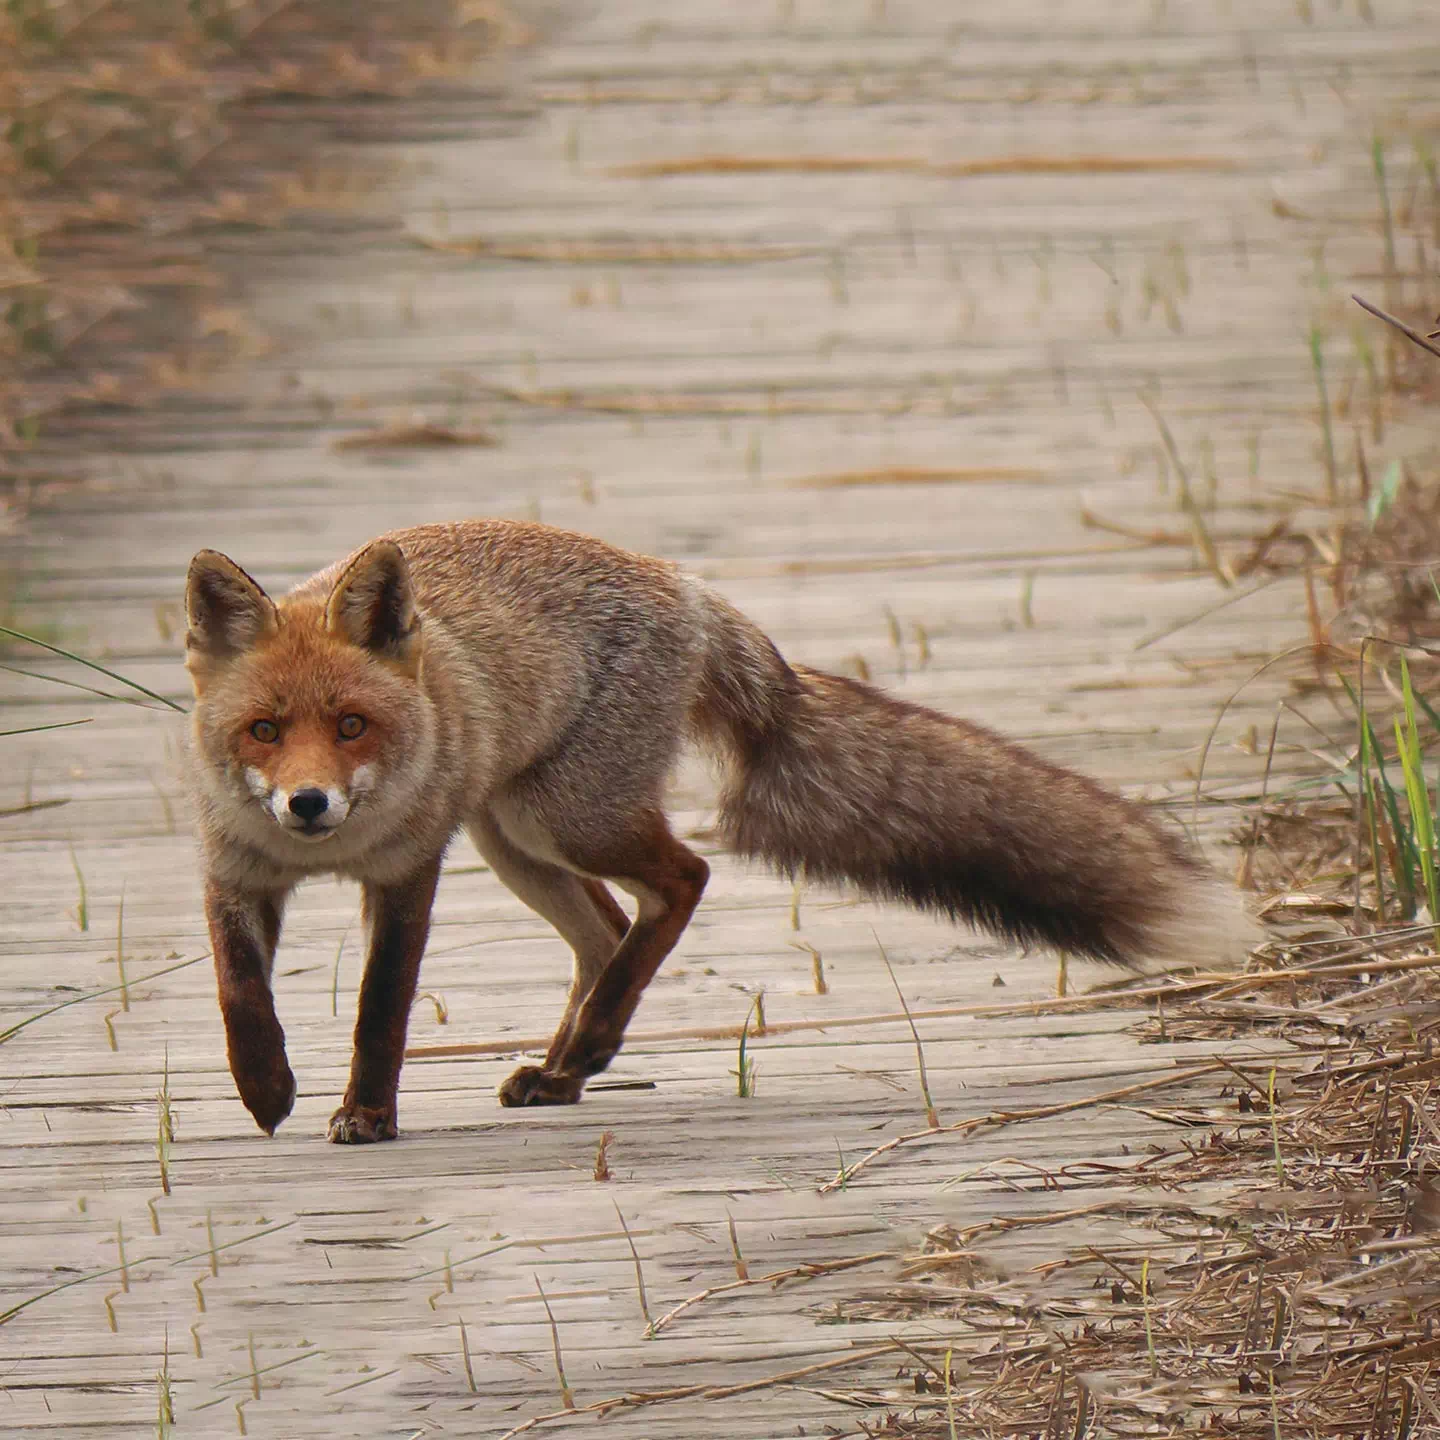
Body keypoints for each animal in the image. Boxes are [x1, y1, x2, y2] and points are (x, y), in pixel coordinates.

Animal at [185, 518, 1255, 1134]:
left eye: (352, 726)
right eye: (265, 731)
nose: (310, 804)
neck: (332, 852)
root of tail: (689, 588)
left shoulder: (408, 873)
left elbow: (380, 1009)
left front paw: (366, 1113)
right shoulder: (233, 868)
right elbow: (239, 993)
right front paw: (264, 1087)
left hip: (559, 818)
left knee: (682, 882)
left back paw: (587, 1050)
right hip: (514, 837)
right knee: (609, 932)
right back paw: (567, 1068)